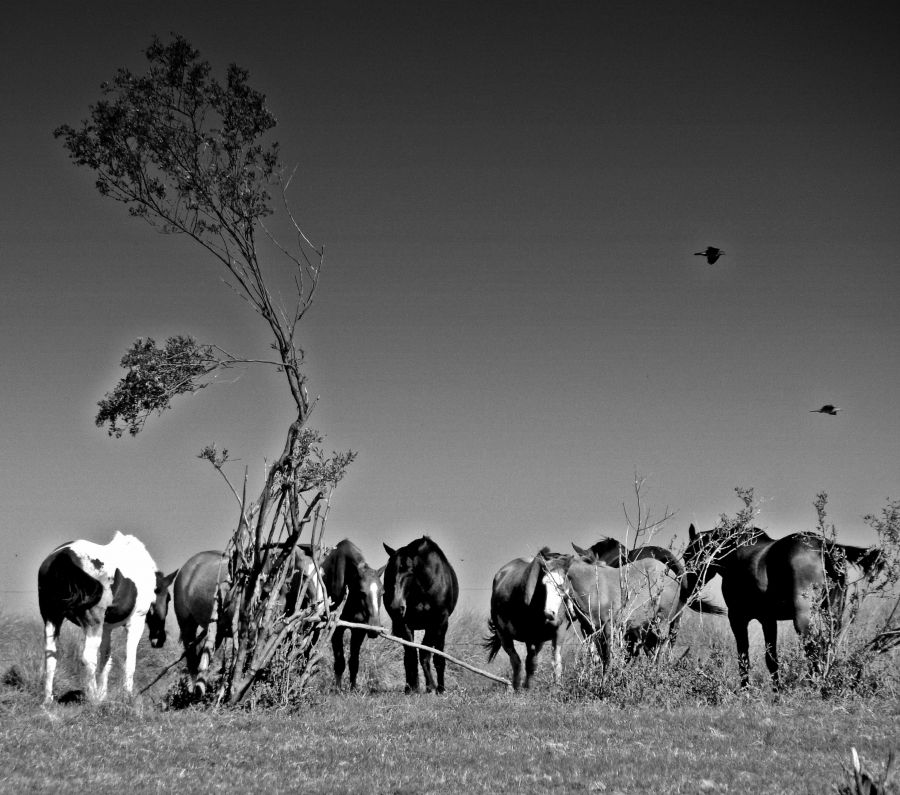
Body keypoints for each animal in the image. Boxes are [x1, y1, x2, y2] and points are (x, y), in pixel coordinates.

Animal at [37, 536, 175, 704]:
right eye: (168, 598)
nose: (159, 639)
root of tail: (63, 556)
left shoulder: (106, 629)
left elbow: (105, 662)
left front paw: (103, 696)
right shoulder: (136, 622)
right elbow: (130, 662)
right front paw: (127, 697)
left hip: (52, 618)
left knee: (50, 656)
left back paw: (48, 700)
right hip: (92, 623)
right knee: (88, 657)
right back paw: (93, 699)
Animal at [324, 540, 386, 692]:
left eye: (382, 593)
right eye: (362, 592)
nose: (375, 628)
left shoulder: (359, 630)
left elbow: (354, 662)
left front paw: (353, 688)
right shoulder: (337, 628)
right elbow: (340, 661)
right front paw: (338, 689)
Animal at [384, 536, 460, 692]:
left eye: (410, 570)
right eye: (389, 572)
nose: (396, 607)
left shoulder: (437, 622)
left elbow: (429, 655)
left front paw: (434, 687)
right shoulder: (405, 623)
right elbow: (412, 654)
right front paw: (414, 687)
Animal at [486, 548, 568, 692]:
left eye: (562, 585)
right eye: (544, 583)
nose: (550, 613)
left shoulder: (558, 631)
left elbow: (556, 660)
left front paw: (557, 688)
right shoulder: (531, 637)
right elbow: (528, 662)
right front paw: (526, 689)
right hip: (504, 635)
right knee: (516, 660)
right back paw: (517, 686)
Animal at [684, 524, 884, 692]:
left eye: (689, 555)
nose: (689, 587)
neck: (735, 554)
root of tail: (824, 546)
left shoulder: (738, 618)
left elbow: (744, 657)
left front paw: (745, 691)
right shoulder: (768, 619)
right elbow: (771, 659)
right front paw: (777, 692)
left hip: (803, 618)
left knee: (814, 649)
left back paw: (815, 686)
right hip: (833, 612)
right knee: (828, 646)